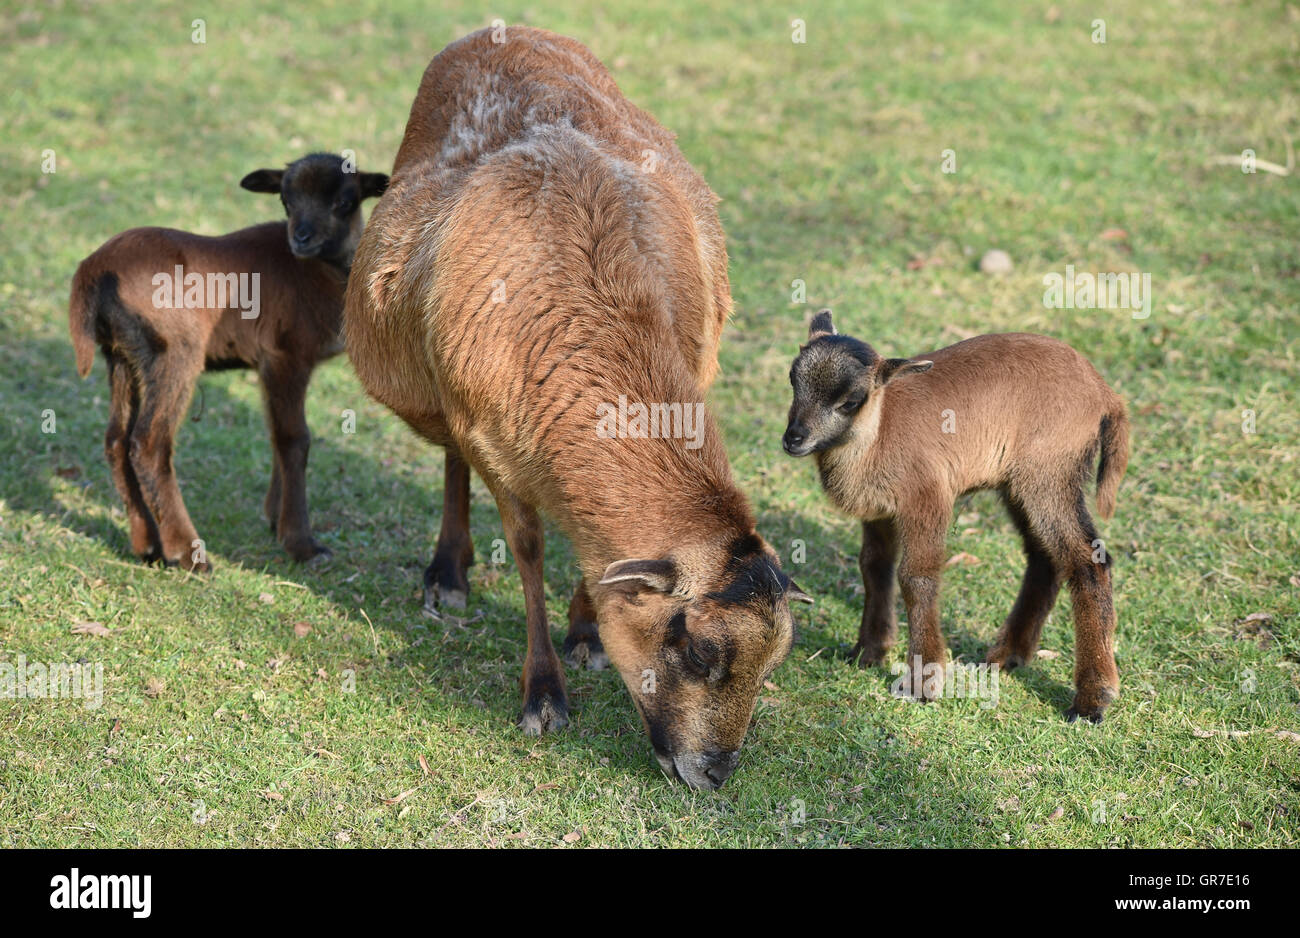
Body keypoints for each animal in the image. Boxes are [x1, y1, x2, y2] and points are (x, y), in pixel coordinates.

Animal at [345, 29, 811, 784]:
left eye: (773, 665)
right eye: (699, 651)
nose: (716, 773)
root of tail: (504, 30)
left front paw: (588, 630)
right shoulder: (493, 437)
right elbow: (530, 549)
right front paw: (543, 694)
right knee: (450, 459)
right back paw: (447, 574)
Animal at [780, 310, 1128, 722]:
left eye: (851, 401)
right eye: (792, 379)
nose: (793, 438)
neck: (878, 434)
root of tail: (1105, 394)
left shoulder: (928, 496)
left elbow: (916, 578)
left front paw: (923, 682)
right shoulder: (879, 510)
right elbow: (874, 566)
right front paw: (868, 652)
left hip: (1048, 473)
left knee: (1088, 561)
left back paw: (1092, 700)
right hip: (1020, 483)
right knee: (1045, 558)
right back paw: (1007, 657)